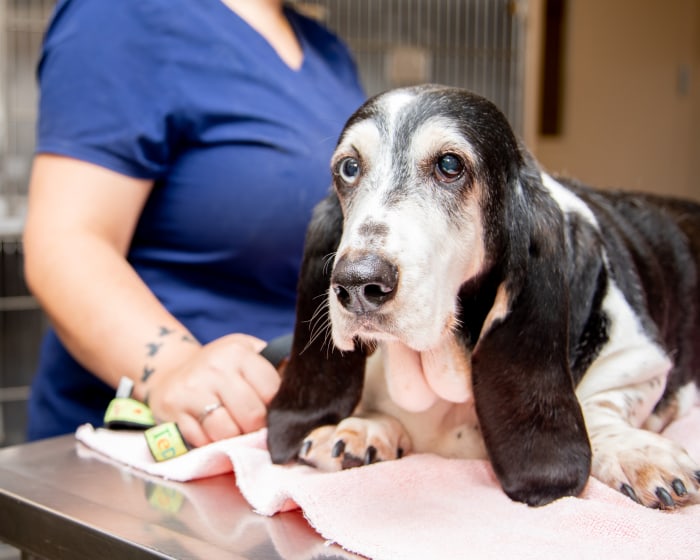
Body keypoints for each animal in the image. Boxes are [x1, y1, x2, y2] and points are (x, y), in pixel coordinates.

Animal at [264, 83, 700, 508]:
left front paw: (636, 452)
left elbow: (599, 406)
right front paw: (364, 426)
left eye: (450, 165)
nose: (356, 284)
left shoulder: (641, 359)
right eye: (349, 168)